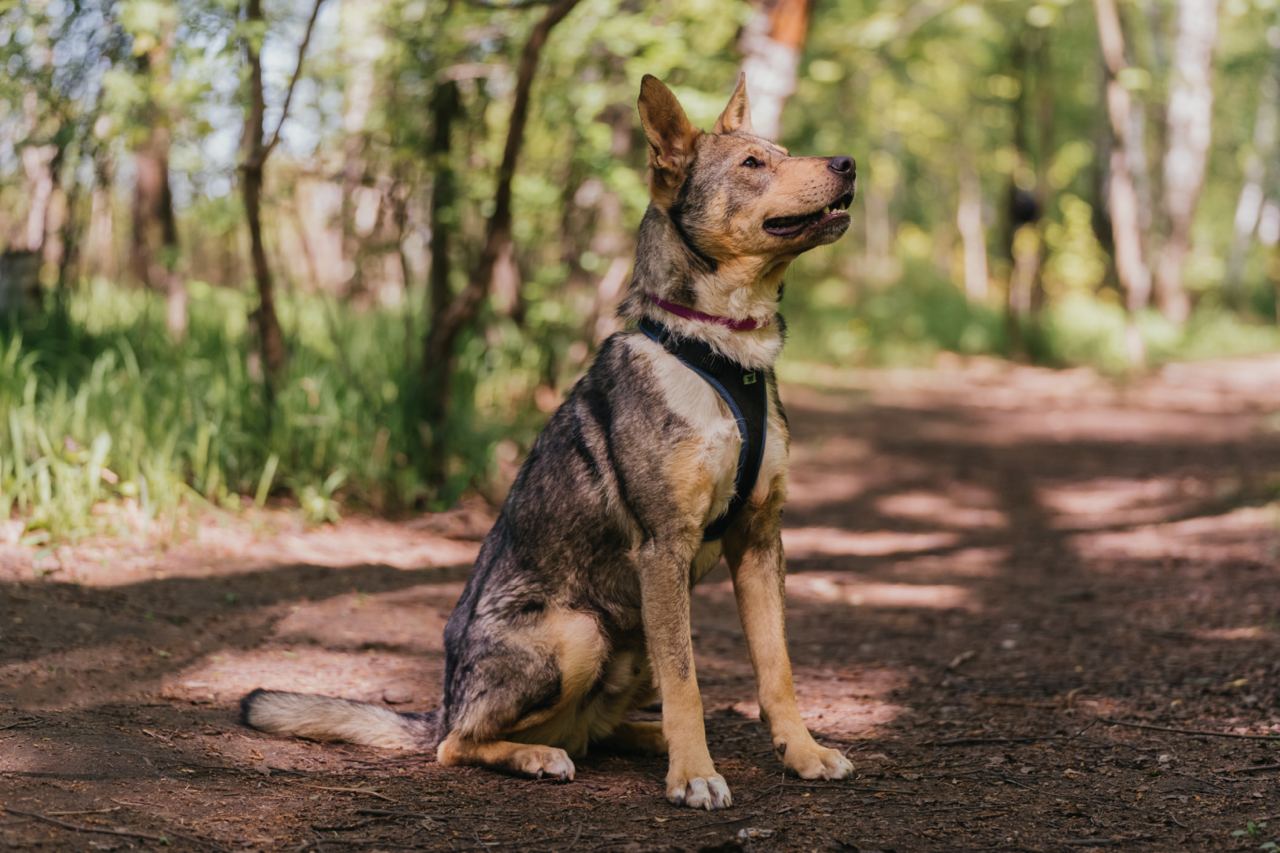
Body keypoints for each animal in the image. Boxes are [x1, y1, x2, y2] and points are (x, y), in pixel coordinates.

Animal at [240, 69, 860, 809]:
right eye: (751, 164)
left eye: (784, 152)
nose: (849, 162)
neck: (718, 347)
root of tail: (443, 702)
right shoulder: (664, 547)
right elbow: (688, 680)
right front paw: (694, 775)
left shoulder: (760, 539)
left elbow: (777, 669)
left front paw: (802, 752)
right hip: (579, 631)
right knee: (462, 744)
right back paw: (547, 755)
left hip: (629, 639)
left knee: (597, 730)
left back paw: (644, 740)